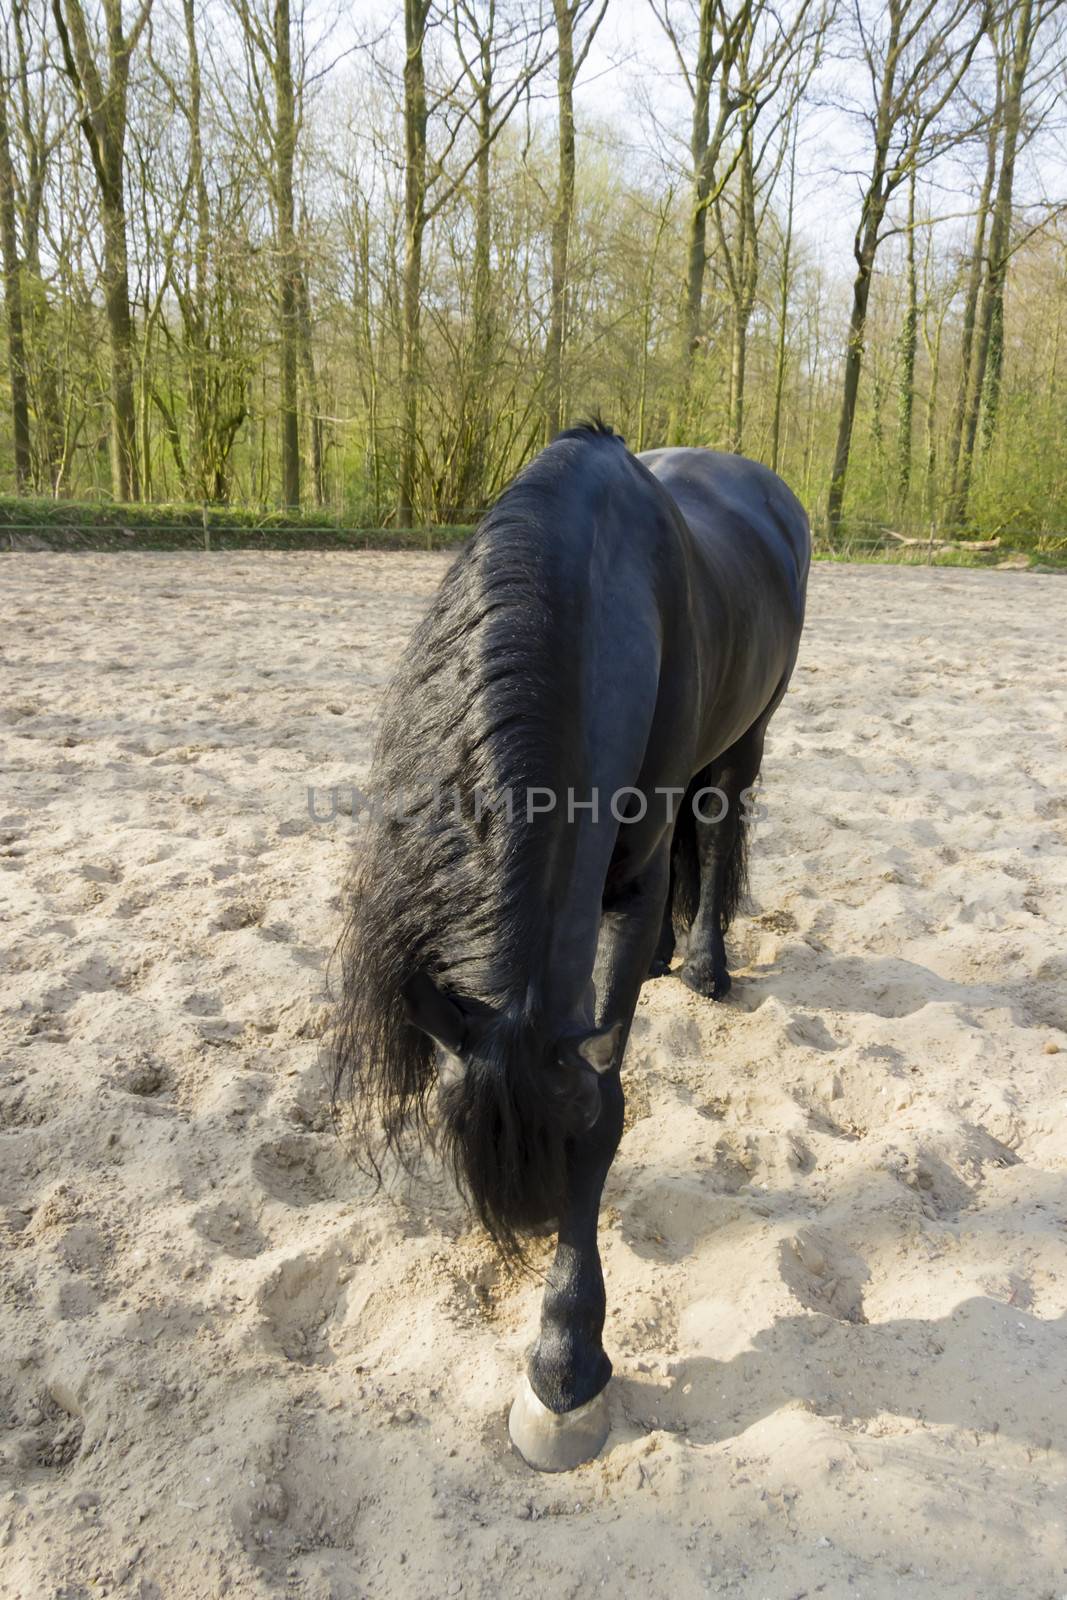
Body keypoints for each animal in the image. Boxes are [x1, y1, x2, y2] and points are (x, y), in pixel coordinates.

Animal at [334, 428, 809, 1472]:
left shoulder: (625, 891)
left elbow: (607, 1104)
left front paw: (564, 1362)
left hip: (748, 738)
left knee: (718, 827)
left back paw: (705, 965)